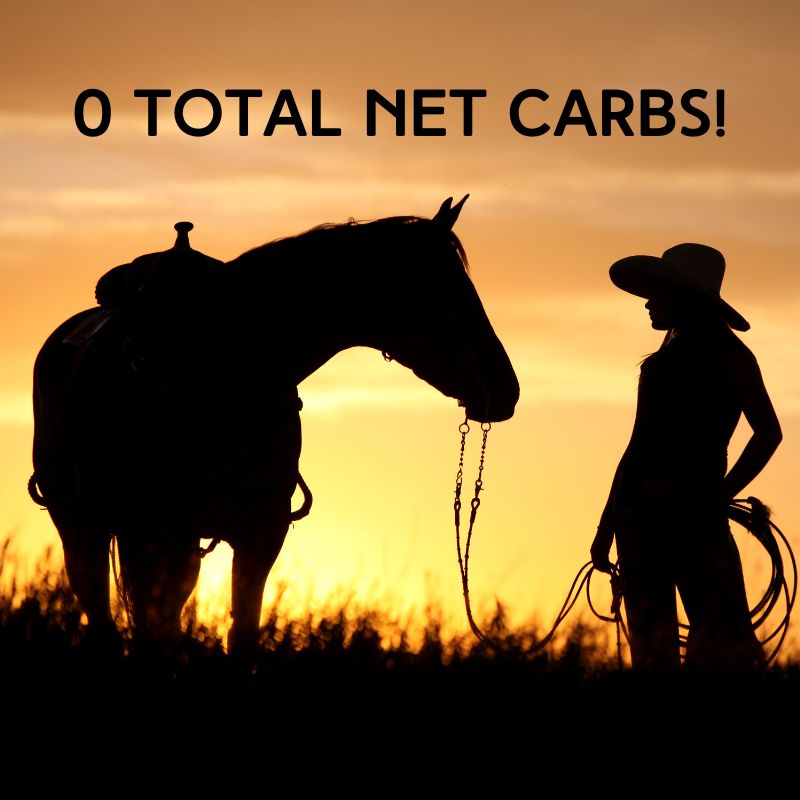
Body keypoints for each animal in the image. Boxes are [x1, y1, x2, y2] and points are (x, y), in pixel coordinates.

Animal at [29, 196, 520, 658]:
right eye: (445, 290)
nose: (506, 389)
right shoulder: (148, 532)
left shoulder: (260, 534)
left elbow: (241, 635)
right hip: (85, 529)